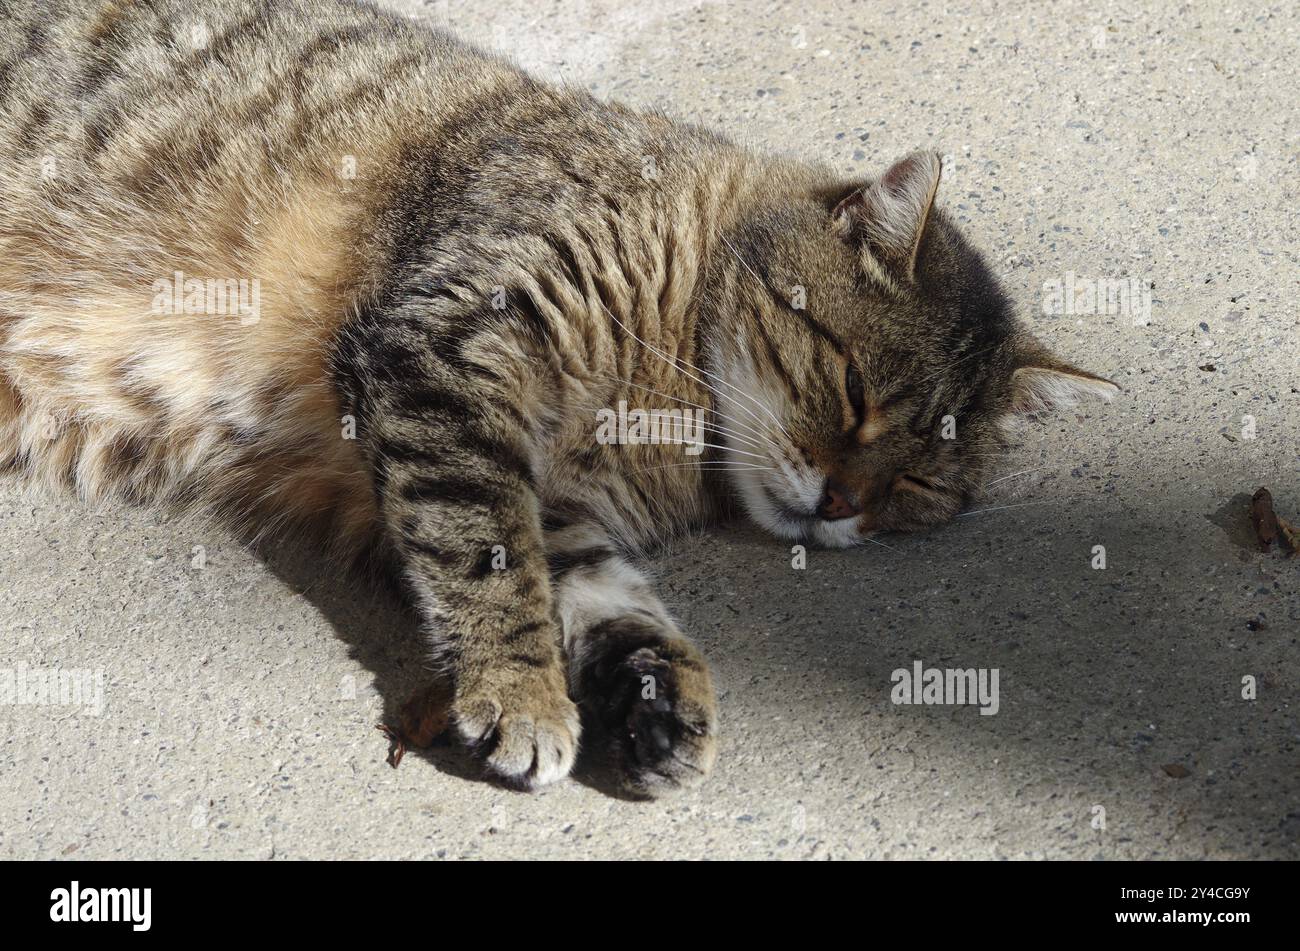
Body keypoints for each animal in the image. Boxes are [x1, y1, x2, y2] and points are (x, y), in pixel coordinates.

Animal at [2, 0, 1118, 795]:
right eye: (854, 393)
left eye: (921, 487)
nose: (844, 504)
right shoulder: (445, 356)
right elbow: (487, 553)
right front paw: (522, 691)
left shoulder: (557, 498)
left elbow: (592, 589)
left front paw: (653, 694)